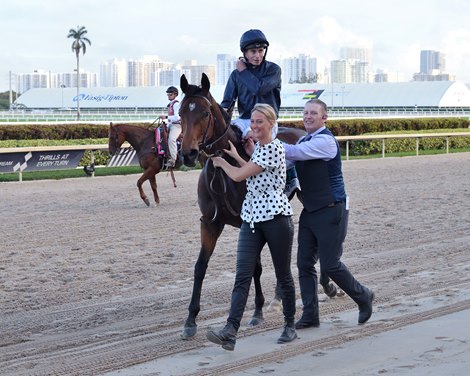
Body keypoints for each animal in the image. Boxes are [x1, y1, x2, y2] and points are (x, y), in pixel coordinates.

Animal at [178, 72, 306, 340]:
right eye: (181, 111)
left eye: (205, 113)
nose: (188, 153)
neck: (223, 172)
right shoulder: (210, 222)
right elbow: (200, 266)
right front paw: (190, 321)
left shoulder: (250, 220)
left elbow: (255, 266)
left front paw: (257, 311)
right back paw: (279, 297)